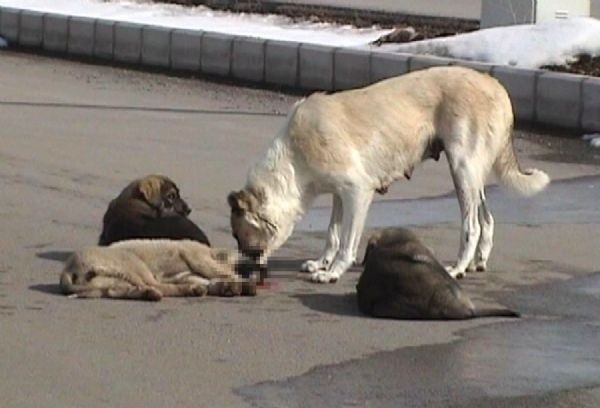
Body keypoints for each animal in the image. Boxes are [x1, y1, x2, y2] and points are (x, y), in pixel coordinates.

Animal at [61, 239, 255, 300]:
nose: (255, 263)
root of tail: (68, 270)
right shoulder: (196, 255)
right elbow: (220, 272)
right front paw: (239, 283)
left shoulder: (186, 272)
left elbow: (207, 279)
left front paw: (227, 286)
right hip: (131, 263)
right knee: (155, 285)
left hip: (103, 285)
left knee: (119, 291)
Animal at [227, 67, 552, 284]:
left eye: (241, 237)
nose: (242, 272)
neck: (294, 156)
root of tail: (493, 82)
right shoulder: (339, 195)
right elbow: (332, 234)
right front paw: (322, 263)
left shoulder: (357, 192)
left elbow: (346, 242)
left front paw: (333, 272)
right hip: (472, 176)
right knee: (487, 218)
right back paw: (478, 261)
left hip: (461, 169)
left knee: (470, 226)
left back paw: (458, 267)